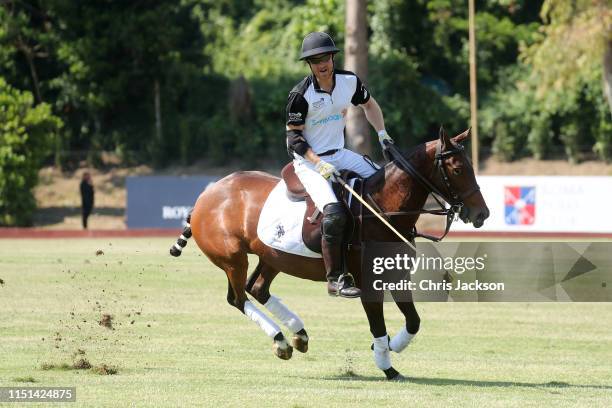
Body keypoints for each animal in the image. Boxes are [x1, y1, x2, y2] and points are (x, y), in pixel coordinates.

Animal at [170, 126, 490, 380]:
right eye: (457, 169)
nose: (481, 214)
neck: (383, 208)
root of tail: (204, 196)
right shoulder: (367, 281)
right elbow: (378, 324)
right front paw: (386, 365)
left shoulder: (396, 274)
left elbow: (413, 321)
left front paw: (387, 347)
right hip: (232, 258)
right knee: (237, 298)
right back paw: (281, 341)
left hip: (273, 256)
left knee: (257, 288)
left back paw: (298, 335)